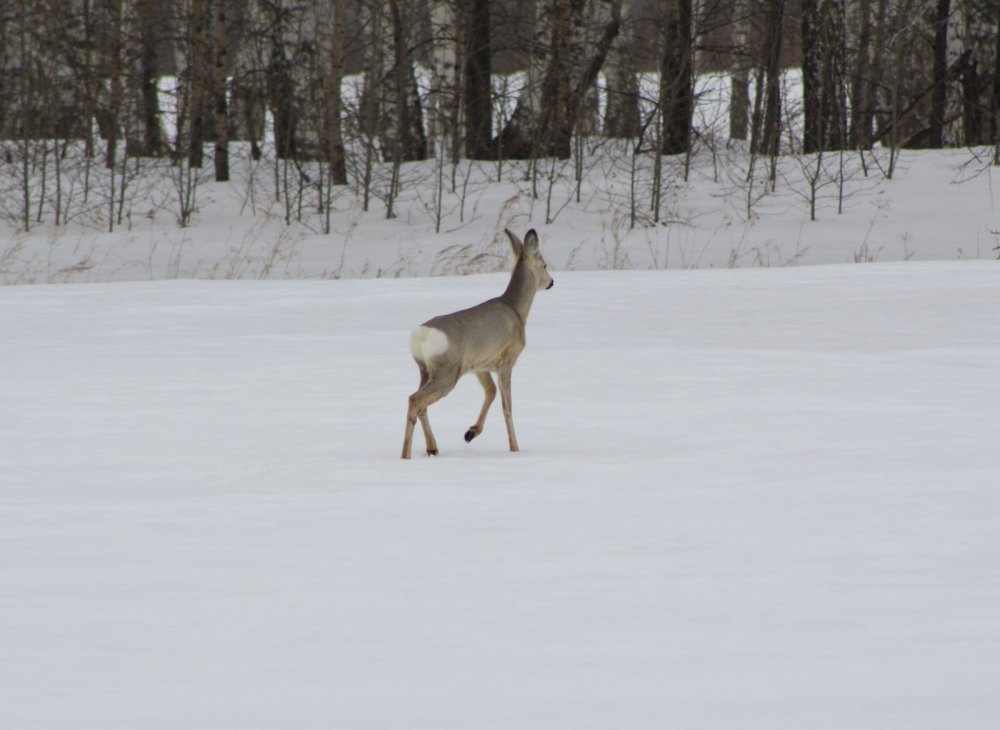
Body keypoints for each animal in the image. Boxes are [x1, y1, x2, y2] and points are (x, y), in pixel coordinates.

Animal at [400, 228, 556, 458]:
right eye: (544, 264)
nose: (551, 281)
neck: (517, 310)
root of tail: (423, 334)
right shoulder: (507, 359)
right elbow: (507, 406)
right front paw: (515, 448)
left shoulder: (480, 366)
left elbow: (491, 392)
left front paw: (471, 432)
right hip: (447, 372)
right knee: (415, 399)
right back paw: (406, 455)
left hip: (426, 369)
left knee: (421, 404)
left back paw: (432, 448)